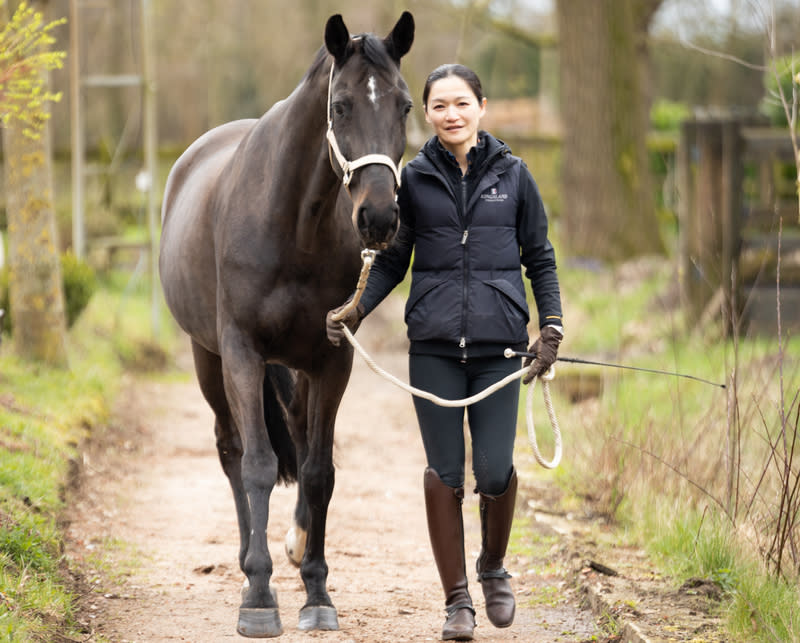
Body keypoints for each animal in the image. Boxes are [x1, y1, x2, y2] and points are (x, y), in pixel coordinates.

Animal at [159, 12, 416, 636]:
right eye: (341, 106)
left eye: (404, 105)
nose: (379, 218)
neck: (296, 225)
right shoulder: (243, 353)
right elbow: (257, 465)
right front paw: (258, 597)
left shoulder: (332, 358)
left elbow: (320, 470)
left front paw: (317, 593)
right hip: (209, 358)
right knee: (231, 449)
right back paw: (250, 562)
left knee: (298, 434)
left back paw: (295, 551)